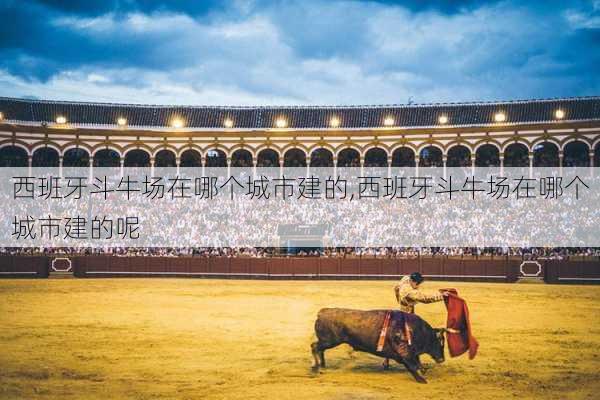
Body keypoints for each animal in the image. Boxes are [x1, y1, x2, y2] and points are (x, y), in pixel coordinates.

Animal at [314, 308, 446, 382]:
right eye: (437, 342)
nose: (442, 359)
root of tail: (322, 312)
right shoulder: (404, 353)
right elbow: (412, 366)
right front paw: (421, 380)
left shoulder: (412, 352)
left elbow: (418, 363)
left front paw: (423, 370)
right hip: (330, 341)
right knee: (314, 347)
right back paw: (316, 367)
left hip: (327, 341)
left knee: (319, 349)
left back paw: (322, 365)